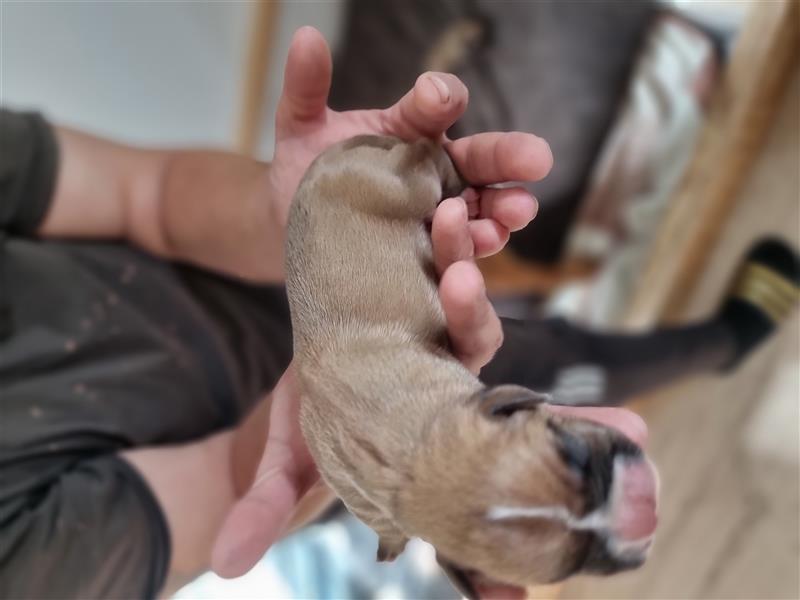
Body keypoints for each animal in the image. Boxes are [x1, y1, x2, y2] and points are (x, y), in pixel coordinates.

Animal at [284, 135, 660, 596]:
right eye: (570, 568)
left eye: (572, 454)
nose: (641, 508)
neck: (412, 460)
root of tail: (320, 165)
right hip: (405, 188)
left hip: (403, 185)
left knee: (421, 157)